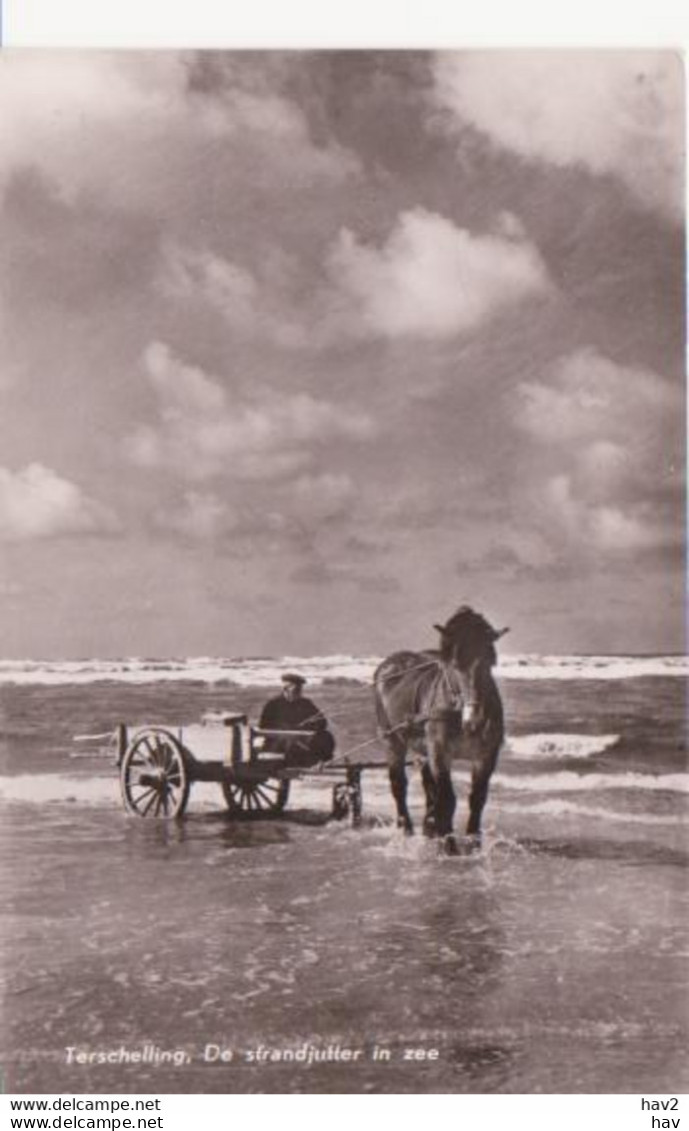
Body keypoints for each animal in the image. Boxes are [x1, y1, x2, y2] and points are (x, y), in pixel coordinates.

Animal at [373, 606, 506, 850]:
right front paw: (449, 845)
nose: (475, 719)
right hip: (392, 740)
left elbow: (477, 798)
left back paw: (429, 827)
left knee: (428, 785)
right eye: (454, 666)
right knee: (399, 785)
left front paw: (473, 842)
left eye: (489, 663)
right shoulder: (440, 751)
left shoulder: (486, 755)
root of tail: (390, 664)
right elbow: (447, 799)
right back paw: (406, 829)